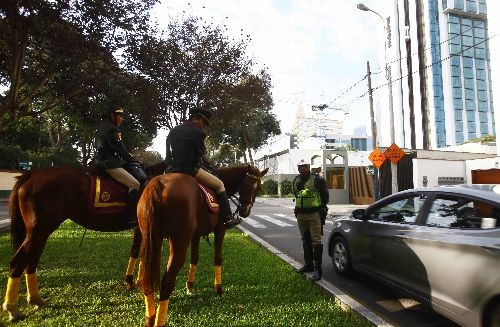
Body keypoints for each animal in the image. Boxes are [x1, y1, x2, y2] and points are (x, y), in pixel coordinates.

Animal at [0, 164, 167, 322]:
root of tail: (31, 174)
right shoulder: (142, 227)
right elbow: (139, 252)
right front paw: (135, 282)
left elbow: (137, 251)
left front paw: (134, 281)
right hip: (38, 231)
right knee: (17, 262)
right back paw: (13, 309)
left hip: (40, 233)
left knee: (31, 261)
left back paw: (35, 300)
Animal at [139, 167, 268, 327]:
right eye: (246, 186)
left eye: (258, 188)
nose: (245, 211)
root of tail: (157, 184)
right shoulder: (220, 229)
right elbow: (218, 258)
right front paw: (219, 289)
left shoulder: (196, 235)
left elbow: (195, 258)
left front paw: (189, 286)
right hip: (178, 243)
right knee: (167, 281)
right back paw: (159, 321)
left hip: (150, 240)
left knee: (146, 277)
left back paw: (150, 317)